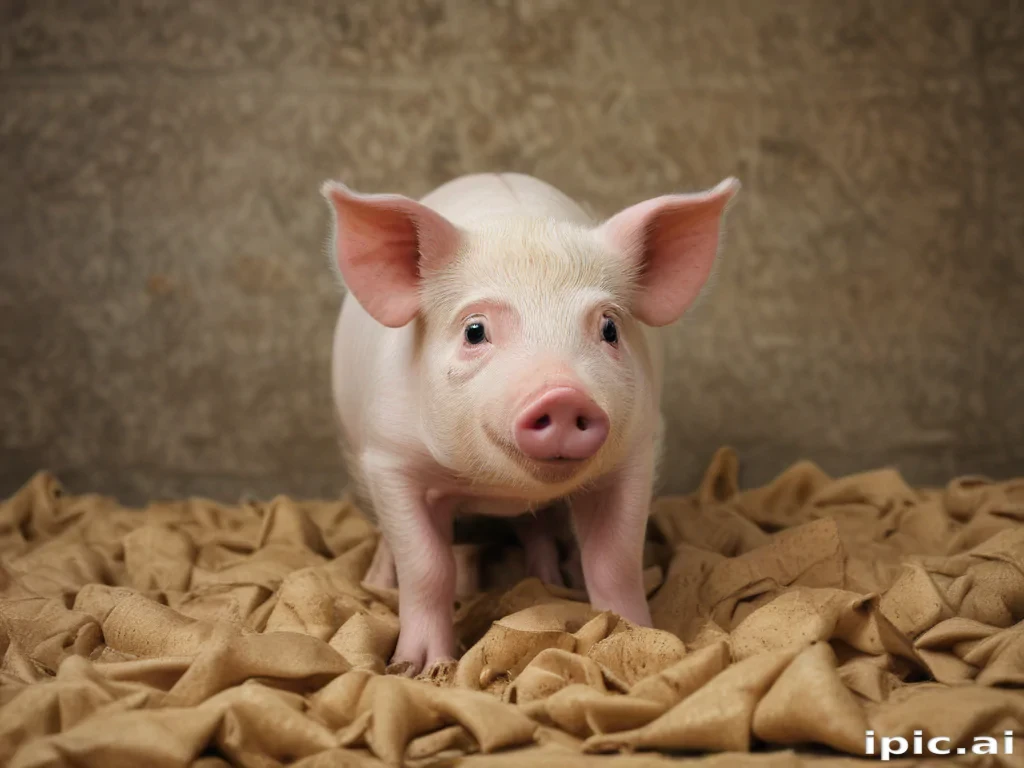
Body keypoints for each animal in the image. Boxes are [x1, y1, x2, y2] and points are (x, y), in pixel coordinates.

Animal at [322, 172, 740, 674]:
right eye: (475, 330)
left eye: (609, 328)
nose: (561, 394)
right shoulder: (389, 459)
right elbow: (427, 566)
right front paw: (420, 668)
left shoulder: (636, 453)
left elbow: (615, 559)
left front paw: (637, 637)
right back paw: (382, 584)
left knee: (538, 529)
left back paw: (552, 579)